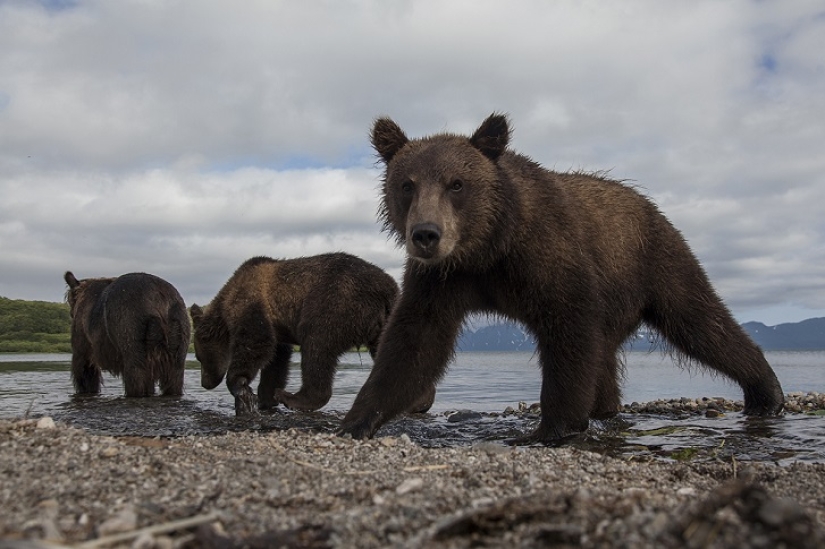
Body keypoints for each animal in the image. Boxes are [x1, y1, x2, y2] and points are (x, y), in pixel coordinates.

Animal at [189, 253, 436, 416]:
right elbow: (276, 359)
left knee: (317, 345)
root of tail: (387, 287)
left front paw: (243, 388)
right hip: (387, 321)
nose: (204, 383)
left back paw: (293, 398)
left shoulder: (251, 303)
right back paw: (419, 402)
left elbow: (257, 342)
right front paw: (265, 397)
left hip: (336, 303)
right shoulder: (277, 327)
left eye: (200, 357)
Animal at [338, 113, 785, 443]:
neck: (490, 248)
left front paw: (551, 428)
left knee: (700, 321)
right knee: (608, 354)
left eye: (457, 183)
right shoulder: (442, 281)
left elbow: (569, 330)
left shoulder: (547, 256)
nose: (426, 234)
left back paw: (765, 391)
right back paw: (606, 408)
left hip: (657, 259)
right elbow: (414, 343)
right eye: (406, 184)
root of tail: (647, 203)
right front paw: (356, 420)